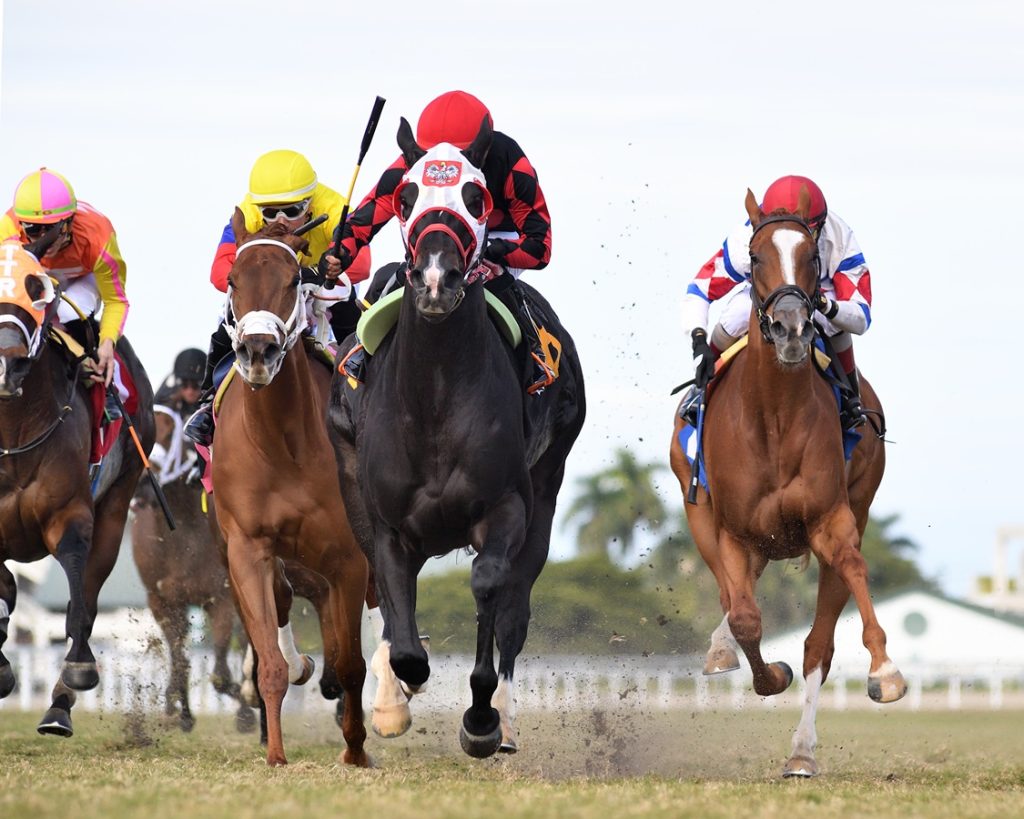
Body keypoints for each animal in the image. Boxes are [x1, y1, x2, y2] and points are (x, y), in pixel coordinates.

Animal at [0, 241, 153, 737]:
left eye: (37, 289)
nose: (6, 362)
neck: (14, 431)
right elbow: (6, 591)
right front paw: (3, 668)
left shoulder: (70, 512)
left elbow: (75, 580)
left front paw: (79, 668)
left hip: (117, 505)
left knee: (87, 591)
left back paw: (58, 706)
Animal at [131, 393, 254, 733]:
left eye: (169, 432)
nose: (141, 484)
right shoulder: (162, 601)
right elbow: (181, 658)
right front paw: (180, 709)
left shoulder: (221, 598)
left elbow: (221, 675)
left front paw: (245, 705)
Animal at [210, 212, 368, 769]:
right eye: (233, 281)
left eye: (294, 278)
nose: (258, 352)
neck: (283, 444)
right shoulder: (247, 548)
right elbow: (271, 665)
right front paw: (276, 755)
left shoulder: (350, 555)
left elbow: (351, 664)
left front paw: (356, 751)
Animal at [671, 188, 905, 778]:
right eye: (755, 257)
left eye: (813, 258)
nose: (793, 327)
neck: (773, 415)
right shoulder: (729, 529)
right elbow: (746, 618)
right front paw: (763, 671)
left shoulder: (832, 520)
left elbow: (843, 587)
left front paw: (885, 670)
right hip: (705, 517)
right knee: (732, 599)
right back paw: (721, 649)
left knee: (818, 642)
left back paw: (802, 752)